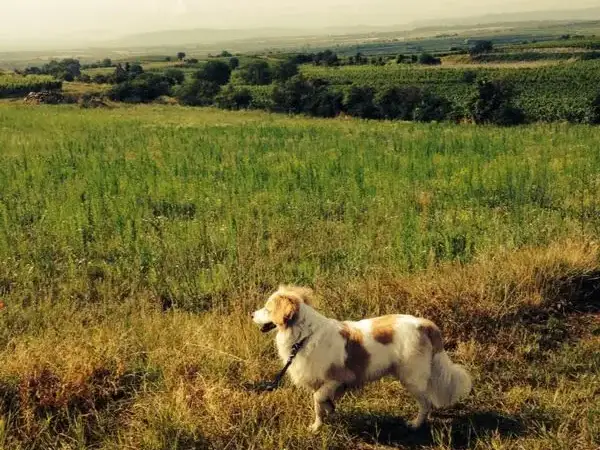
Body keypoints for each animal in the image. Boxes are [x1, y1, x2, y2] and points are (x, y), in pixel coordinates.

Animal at [251, 284, 472, 432]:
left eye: (267, 309)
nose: (251, 315)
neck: (304, 335)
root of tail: (424, 323)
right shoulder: (323, 382)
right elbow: (321, 404)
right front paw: (323, 419)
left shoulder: (337, 378)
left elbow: (318, 399)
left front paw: (316, 426)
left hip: (411, 379)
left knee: (426, 403)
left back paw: (416, 424)